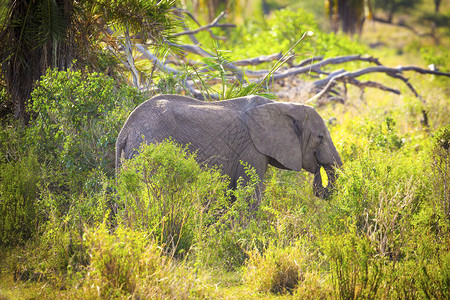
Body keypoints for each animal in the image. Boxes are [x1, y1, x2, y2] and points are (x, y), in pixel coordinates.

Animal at [115, 94, 342, 206]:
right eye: (320, 137)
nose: (317, 175)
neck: (283, 106)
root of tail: (124, 131)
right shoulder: (251, 148)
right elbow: (249, 193)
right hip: (147, 145)